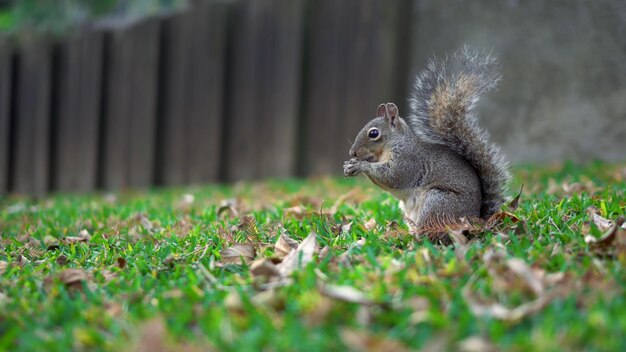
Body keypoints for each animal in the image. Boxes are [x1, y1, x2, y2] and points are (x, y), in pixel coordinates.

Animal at [344, 47, 510, 234]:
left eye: (373, 133)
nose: (352, 152)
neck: (393, 144)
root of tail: (476, 220)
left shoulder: (408, 161)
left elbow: (393, 176)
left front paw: (360, 165)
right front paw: (349, 165)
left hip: (437, 201)